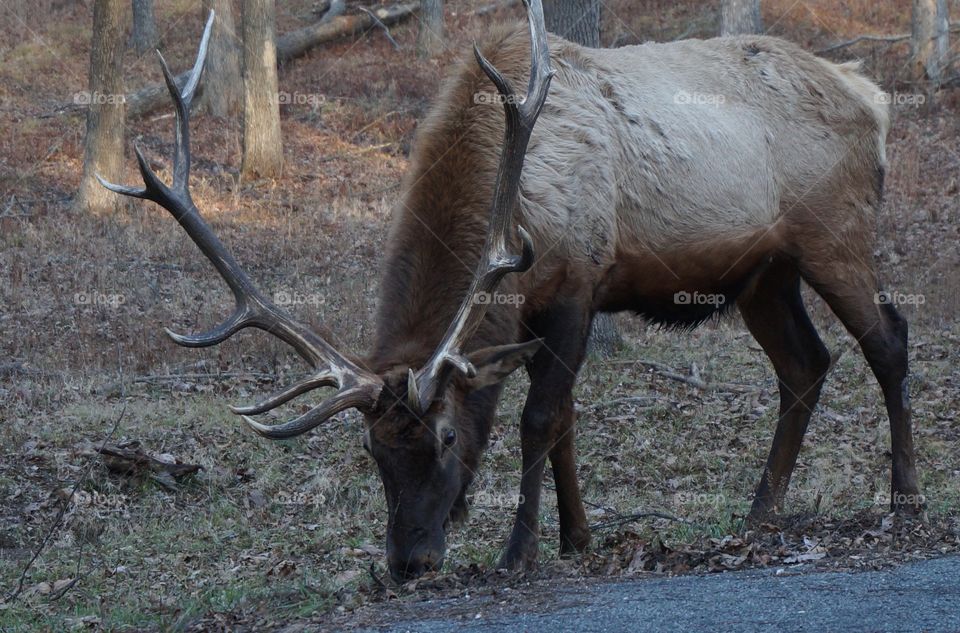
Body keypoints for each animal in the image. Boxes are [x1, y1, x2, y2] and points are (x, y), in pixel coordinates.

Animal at [101, 2, 922, 582]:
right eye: (370, 450)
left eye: (445, 435)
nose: (408, 563)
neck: (512, 198)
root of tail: (874, 99)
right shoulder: (533, 314)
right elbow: (568, 421)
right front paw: (577, 535)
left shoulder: (577, 285)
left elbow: (539, 419)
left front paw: (519, 550)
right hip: (763, 272)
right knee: (806, 363)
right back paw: (760, 511)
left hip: (834, 231)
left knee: (887, 338)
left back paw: (905, 497)